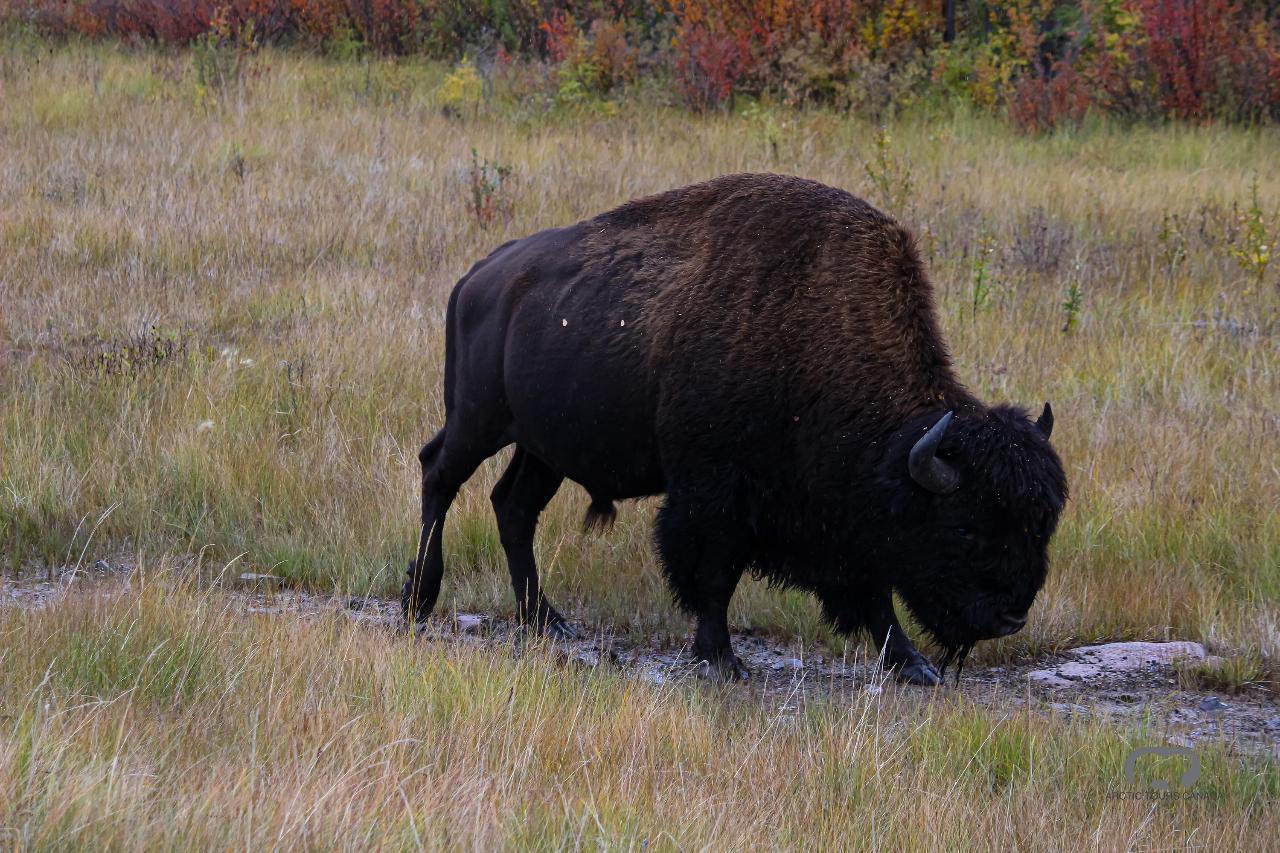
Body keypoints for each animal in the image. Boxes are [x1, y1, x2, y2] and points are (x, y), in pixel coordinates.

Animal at [404, 172, 1064, 686]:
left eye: (1040, 526)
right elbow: (714, 571)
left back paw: (546, 620)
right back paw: (419, 599)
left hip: (544, 448)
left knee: (512, 507)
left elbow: (874, 591)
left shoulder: (848, 519)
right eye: (966, 528)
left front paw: (911, 664)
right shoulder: (715, 491)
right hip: (478, 420)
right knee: (439, 474)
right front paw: (721, 657)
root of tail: (480, 276)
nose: (1011, 616)